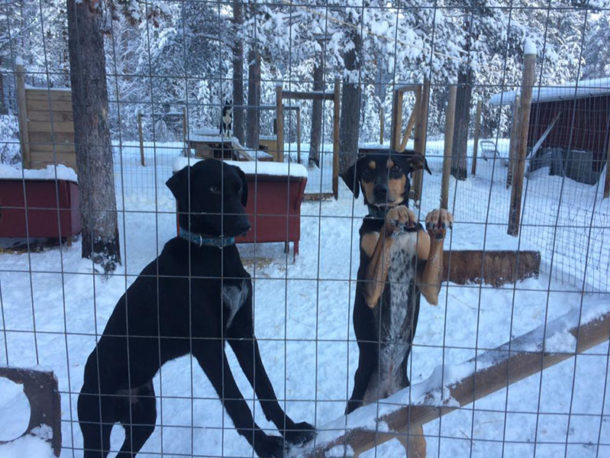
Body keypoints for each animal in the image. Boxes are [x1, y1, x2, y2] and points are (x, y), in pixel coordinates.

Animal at [77, 159, 314, 456]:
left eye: (239, 188)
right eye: (213, 189)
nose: (245, 224)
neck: (215, 253)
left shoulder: (243, 333)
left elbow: (265, 387)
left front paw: (292, 430)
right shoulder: (208, 346)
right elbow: (236, 401)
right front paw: (265, 445)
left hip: (144, 418)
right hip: (97, 426)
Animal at [342, 148, 452, 456]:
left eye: (395, 169)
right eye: (367, 172)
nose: (380, 190)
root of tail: (386, 392)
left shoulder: (429, 287)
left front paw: (438, 220)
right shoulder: (369, 288)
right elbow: (383, 239)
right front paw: (394, 215)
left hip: (414, 433)